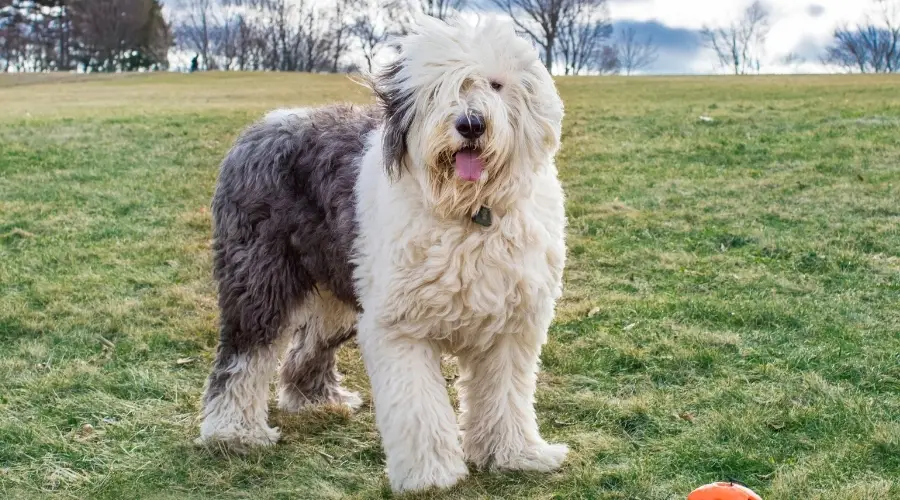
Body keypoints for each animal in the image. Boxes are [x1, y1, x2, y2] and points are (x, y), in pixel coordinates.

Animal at [197, 15, 568, 492]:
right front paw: (431, 475)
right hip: (261, 277)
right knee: (244, 355)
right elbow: (419, 408)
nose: (470, 124)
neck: (468, 213)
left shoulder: (510, 325)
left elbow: (506, 397)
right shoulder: (401, 328)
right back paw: (234, 432)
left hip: (341, 286)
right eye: (437, 89)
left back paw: (318, 400)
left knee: (308, 345)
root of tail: (262, 126)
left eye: (496, 84)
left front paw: (515, 455)